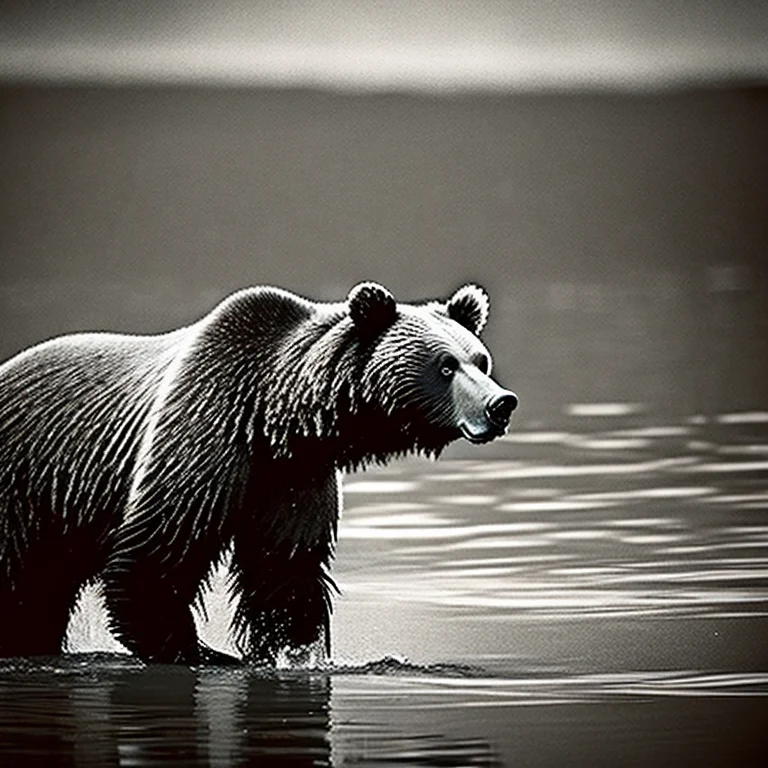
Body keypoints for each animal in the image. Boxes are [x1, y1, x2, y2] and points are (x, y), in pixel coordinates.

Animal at [0, 282, 517, 664]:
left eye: (481, 360)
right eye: (445, 365)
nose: (501, 404)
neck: (272, 413)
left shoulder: (291, 478)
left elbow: (285, 572)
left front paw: (293, 651)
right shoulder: (204, 430)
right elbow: (156, 556)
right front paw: (204, 652)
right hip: (25, 491)